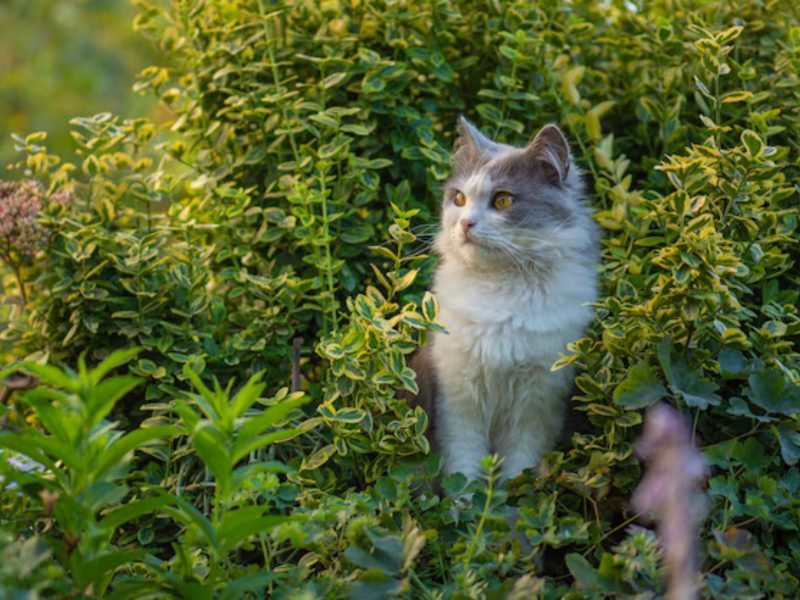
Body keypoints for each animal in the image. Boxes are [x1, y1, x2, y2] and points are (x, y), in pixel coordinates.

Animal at [410, 117, 596, 482]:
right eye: (458, 198)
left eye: (503, 202)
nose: (466, 223)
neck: (500, 287)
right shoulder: (457, 400)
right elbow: (464, 467)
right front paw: (467, 500)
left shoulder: (538, 402)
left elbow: (519, 467)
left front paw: (509, 497)